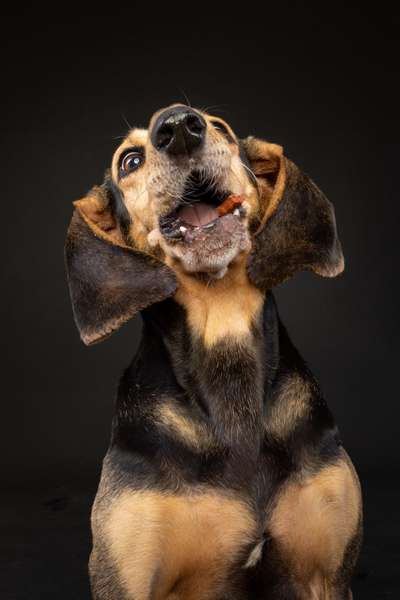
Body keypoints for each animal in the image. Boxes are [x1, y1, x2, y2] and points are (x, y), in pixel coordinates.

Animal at [65, 105, 362, 596]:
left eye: (219, 126)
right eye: (129, 161)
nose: (179, 127)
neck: (223, 327)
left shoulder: (329, 575)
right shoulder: (126, 578)